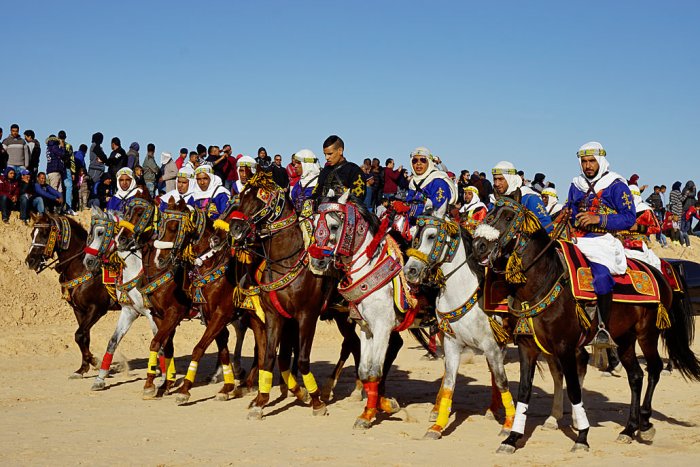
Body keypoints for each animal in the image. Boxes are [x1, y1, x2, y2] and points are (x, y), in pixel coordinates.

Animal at [24, 214, 119, 378]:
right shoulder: (79, 310)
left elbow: (79, 335)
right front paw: (82, 368)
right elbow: (84, 337)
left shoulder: (97, 309)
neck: (81, 267)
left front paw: (95, 362)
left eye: (45, 234)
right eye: (32, 234)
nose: (30, 261)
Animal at [82, 207, 159, 394]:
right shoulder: (129, 312)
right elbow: (112, 341)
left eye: (101, 232)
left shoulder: (153, 314)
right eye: (90, 234)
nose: (88, 261)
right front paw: (100, 379)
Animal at [154, 199, 266, 404]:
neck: (212, 263)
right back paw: (248, 383)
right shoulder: (209, 314)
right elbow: (223, 350)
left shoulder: (221, 314)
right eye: (160, 226)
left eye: (174, 227)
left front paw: (185, 390)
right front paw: (226, 387)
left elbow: (199, 348)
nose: (159, 259)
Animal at [404, 215, 576, 438]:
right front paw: (437, 426)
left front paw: (508, 424)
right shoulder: (452, 344)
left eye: (432, 236)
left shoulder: (492, 346)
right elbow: (450, 381)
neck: (466, 293)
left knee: (562, 373)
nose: (410, 271)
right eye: (415, 235)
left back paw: (559, 419)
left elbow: (501, 381)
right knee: (557, 373)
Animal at [470, 197, 700, 454]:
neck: (543, 281)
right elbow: (524, 390)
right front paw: (512, 438)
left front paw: (582, 436)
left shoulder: (566, 347)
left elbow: (573, 388)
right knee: (636, 376)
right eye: (489, 214)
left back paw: (645, 422)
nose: (478, 245)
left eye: (509, 217)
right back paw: (629, 429)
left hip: (647, 334)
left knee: (654, 369)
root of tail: (660, 273)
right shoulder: (527, 347)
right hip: (624, 339)